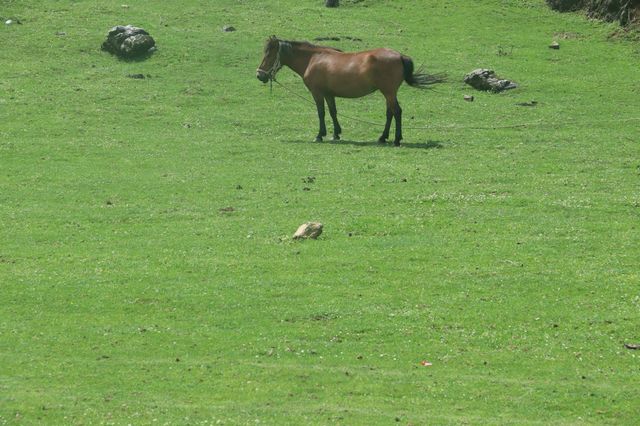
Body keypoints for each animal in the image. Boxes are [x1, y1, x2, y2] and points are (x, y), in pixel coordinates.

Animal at [258, 35, 442, 145]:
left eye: (269, 55)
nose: (259, 75)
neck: (313, 59)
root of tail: (400, 56)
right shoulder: (329, 94)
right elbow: (333, 112)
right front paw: (336, 133)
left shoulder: (318, 93)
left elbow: (321, 113)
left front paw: (320, 135)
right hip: (388, 93)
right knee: (390, 112)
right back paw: (383, 137)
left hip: (388, 92)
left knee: (396, 111)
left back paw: (396, 139)